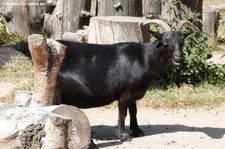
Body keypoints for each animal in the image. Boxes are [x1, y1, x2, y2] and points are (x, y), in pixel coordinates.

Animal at [15, 19, 195, 141]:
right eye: (165, 42)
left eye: (182, 41)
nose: (178, 58)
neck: (144, 59)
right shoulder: (125, 92)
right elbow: (122, 112)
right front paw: (122, 135)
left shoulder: (134, 92)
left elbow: (134, 111)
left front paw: (137, 131)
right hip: (54, 92)